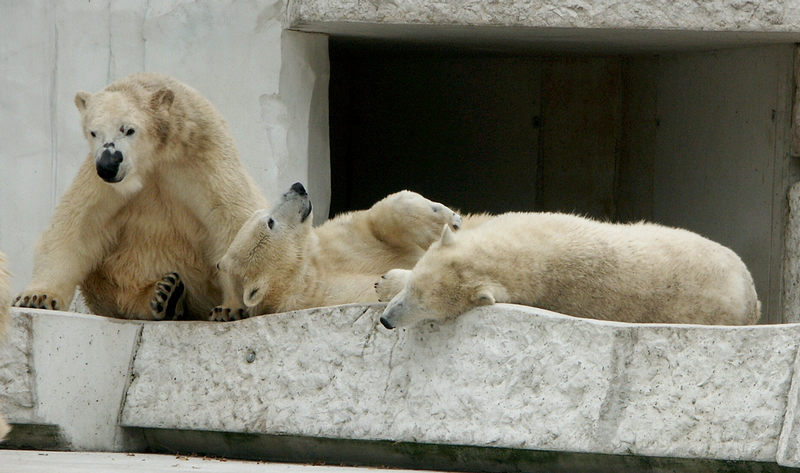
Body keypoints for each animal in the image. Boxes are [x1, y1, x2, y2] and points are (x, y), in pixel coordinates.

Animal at [12, 72, 268, 318]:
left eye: (128, 129)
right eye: (93, 132)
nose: (107, 166)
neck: (155, 158)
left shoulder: (203, 157)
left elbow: (229, 219)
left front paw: (231, 308)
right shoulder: (102, 182)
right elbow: (77, 224)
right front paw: (37, 296)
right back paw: (164, 295)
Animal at [211, 183, 462, 318]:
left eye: (262, 214)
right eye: (269, 222)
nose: (297, 187)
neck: (306, 273)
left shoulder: (340, 240)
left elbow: (376, 219)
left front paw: (447, 220)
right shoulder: (321, 298)